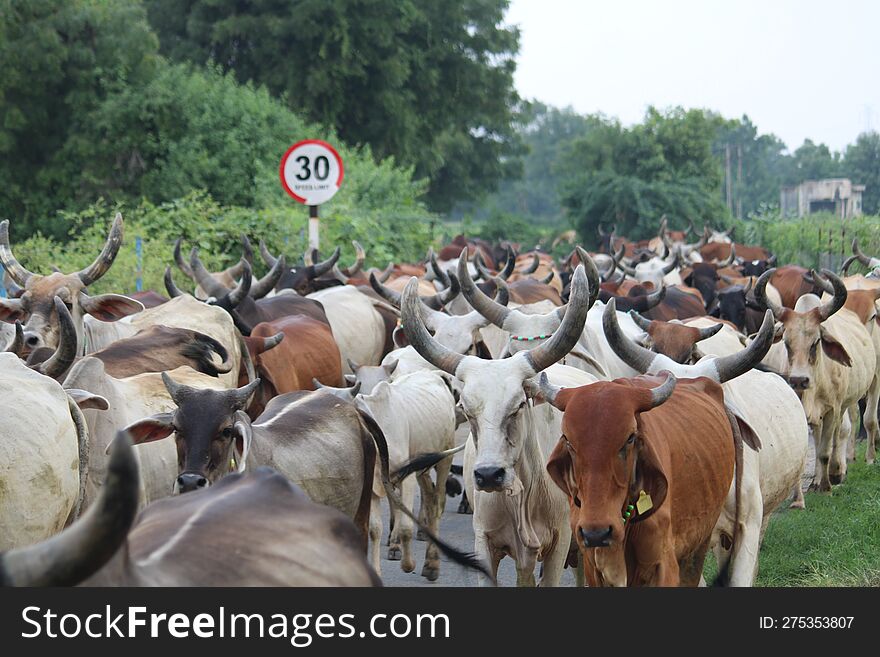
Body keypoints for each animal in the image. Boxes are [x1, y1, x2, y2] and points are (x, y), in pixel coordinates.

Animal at [540, 372, 740, 588]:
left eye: (629, 438)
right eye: (568, 441)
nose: (596, 534)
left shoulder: (664, 565)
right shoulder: (591, 567)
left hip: (699, 544)